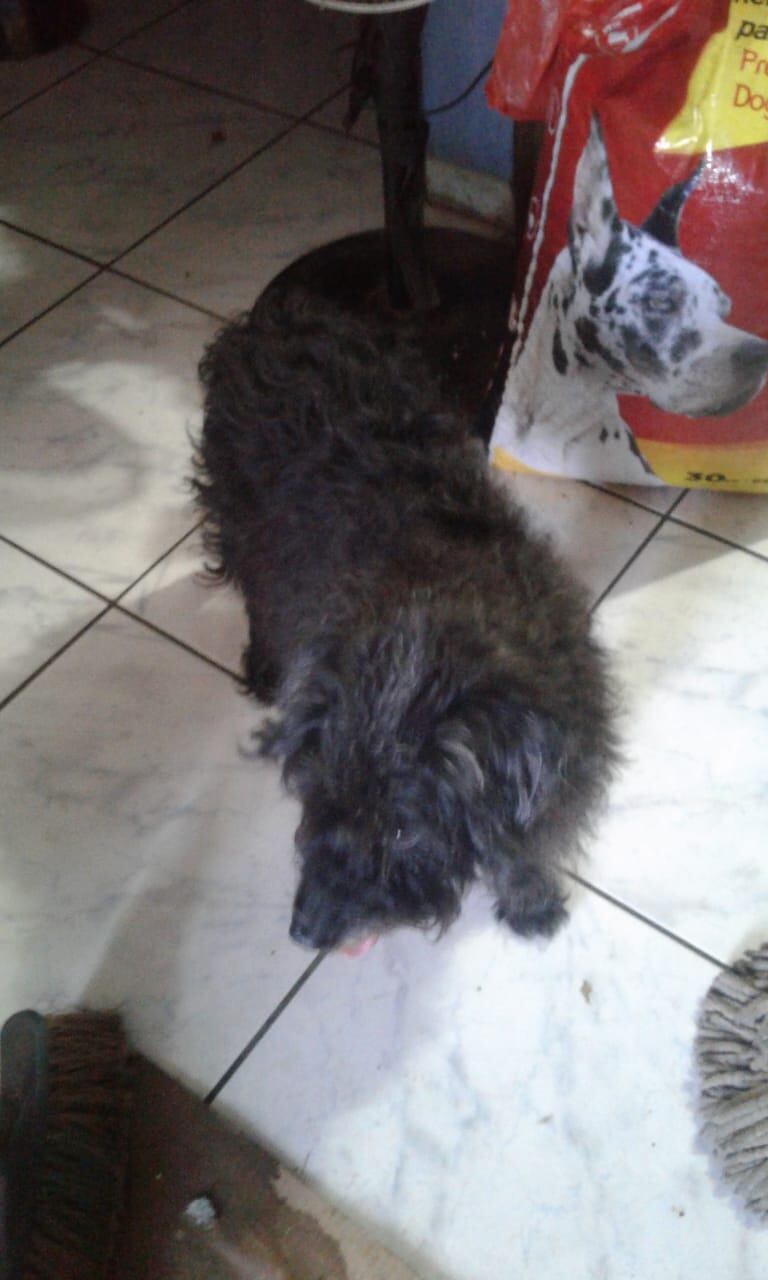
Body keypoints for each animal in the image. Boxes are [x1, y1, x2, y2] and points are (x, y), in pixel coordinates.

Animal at [195, 291, 618, 953]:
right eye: (318, 797)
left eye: (399, 832)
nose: (304, 930)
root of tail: (268, 320)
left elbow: (527, 842)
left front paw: (530, 898)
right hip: (240, 523)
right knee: (256, 594)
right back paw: (264, 663)